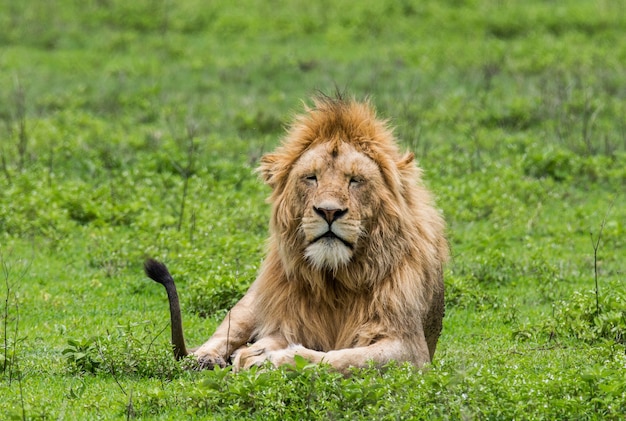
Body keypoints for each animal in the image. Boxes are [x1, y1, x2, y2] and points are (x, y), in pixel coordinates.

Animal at [145, 94, 448, 370]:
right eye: (311, 178)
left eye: (355, 180)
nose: (328, 211)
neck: (336, 280)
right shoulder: (286, 322)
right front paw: (252, 354)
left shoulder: (411, 348)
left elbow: (344, 359)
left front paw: (269, 359)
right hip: (252, 302)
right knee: (221, 336)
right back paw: (206, 359)